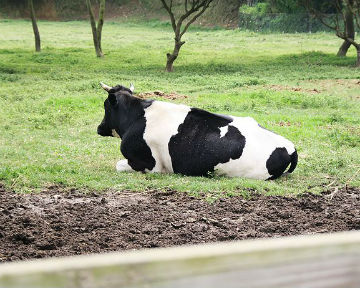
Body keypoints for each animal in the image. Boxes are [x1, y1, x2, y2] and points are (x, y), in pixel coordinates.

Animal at [97, 82, 296, 179]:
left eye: (105, 105)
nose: (99, 128)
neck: (138, 116)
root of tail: (290, 146)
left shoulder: (149, 165)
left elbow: (118, 165)